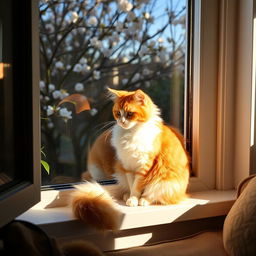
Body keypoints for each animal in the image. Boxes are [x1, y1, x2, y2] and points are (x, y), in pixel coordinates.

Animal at [71, 88, 190, 230]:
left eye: (129, 114)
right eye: (118, 113)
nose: (121, 121)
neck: (131, 133)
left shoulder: (144, 166)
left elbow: (137, 186)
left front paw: (134, 200)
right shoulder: (127, 166)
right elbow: (131, 185)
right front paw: (131, 198)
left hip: (164, 183)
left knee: (155, 195)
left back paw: (144, 200)